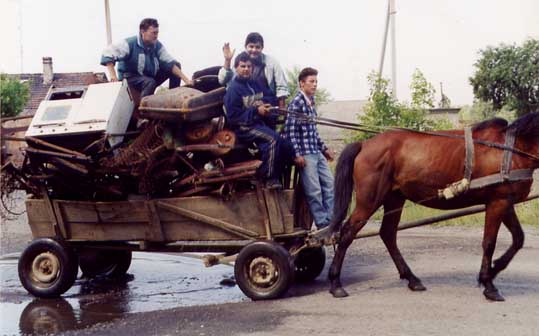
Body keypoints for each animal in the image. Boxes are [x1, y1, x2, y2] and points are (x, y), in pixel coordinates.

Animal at [324, 111, 539, 300]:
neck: (512, 149)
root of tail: (364, 144)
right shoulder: (497, 202)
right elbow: (489, 243)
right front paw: (489, 284)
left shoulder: (506, 202)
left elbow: (518, 238)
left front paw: (494, 270)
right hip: (369, 201)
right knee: (347, 233)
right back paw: (335, 284)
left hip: (394, 198)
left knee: (388, 234)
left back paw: (412, 279)